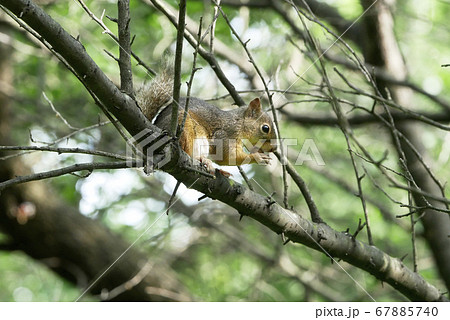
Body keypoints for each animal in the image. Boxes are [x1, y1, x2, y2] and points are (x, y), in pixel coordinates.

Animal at [136, 69, 278, 178]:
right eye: (265, 128)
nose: (274, 148)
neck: (239, 124)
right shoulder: (224, 134)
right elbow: (227, 156)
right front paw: (257, 157)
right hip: (185, 128)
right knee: (187, 151)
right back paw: (201, 159)